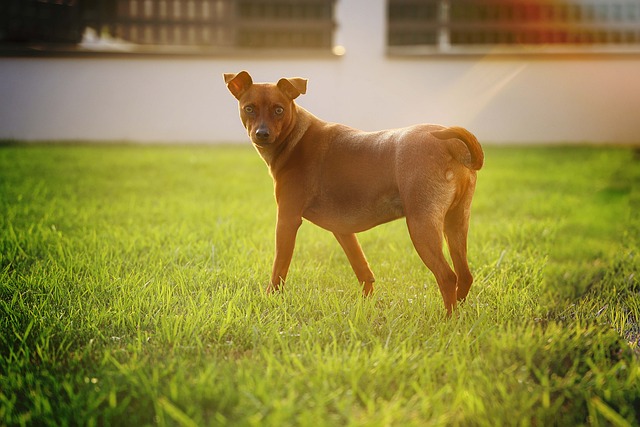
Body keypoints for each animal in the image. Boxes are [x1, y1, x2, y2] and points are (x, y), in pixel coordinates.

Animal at [222, 72, 482, 316]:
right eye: (249, 108)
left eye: (279, 109)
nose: (262, 134)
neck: (296, 137)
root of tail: (450, 144)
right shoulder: (342, 229)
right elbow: (363, 270)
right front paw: (368, 305)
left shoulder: (287, 220)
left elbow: (279, 269)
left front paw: (271, 299)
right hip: (456, 223)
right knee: (465, 275)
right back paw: (460, 315)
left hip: (421, 226)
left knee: (448, 276)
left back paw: (448, 321)